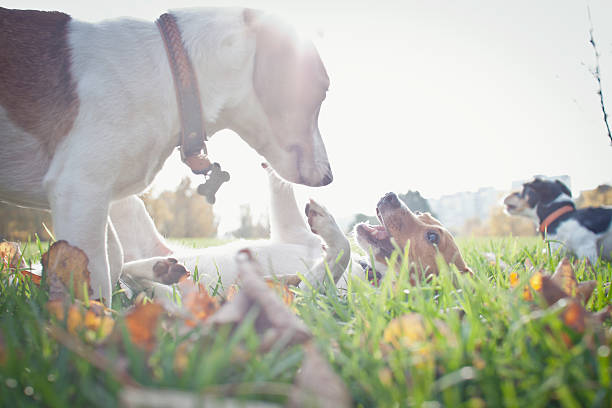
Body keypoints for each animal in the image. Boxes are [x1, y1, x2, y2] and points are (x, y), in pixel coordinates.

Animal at [0, 7, 332, 304]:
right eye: (322, 91)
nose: (329, 177)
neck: (173, 73)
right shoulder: (80, 189)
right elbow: (95, 274)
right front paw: (95, 321)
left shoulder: (93, 198)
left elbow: (111, 258)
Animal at [123, 164, 468, 294]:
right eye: (423, 214)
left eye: (433, 237)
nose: (390, 195)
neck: (366, 270)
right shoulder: (290, 231)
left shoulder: (304, 294)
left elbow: (341, 248)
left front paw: (328, 224)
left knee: (127, 275)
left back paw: (157, 271)